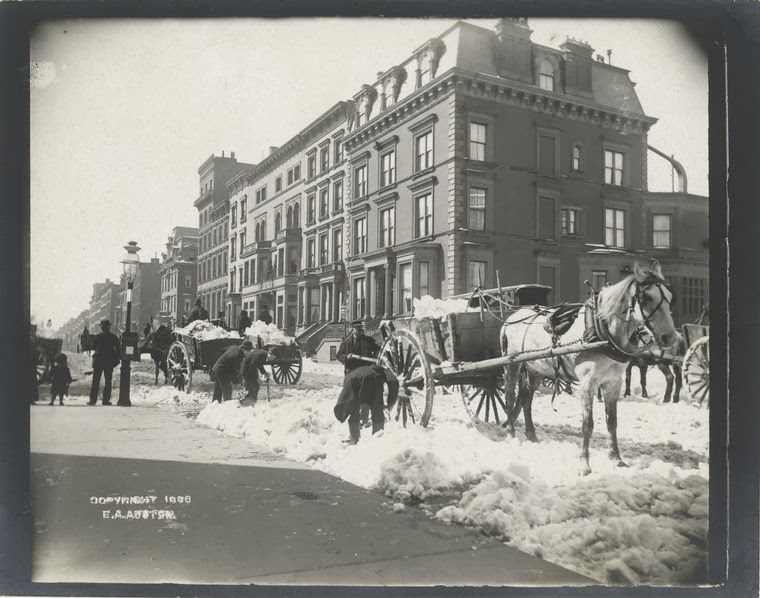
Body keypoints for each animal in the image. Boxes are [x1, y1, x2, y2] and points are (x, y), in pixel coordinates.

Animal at [498, 262, 676, 478]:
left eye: (669, 297)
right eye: (646, 297)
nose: (670, 337)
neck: (603, 332)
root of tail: (512, 318)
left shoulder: (613, 382)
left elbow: (612, 421)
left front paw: (616, 458)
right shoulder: (587, 382)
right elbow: (587, 424)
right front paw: (584, 464)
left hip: (536, 369)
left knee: (525, 397)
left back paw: (531, 435)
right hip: (512, 364)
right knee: (509, 396)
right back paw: (510, 433)